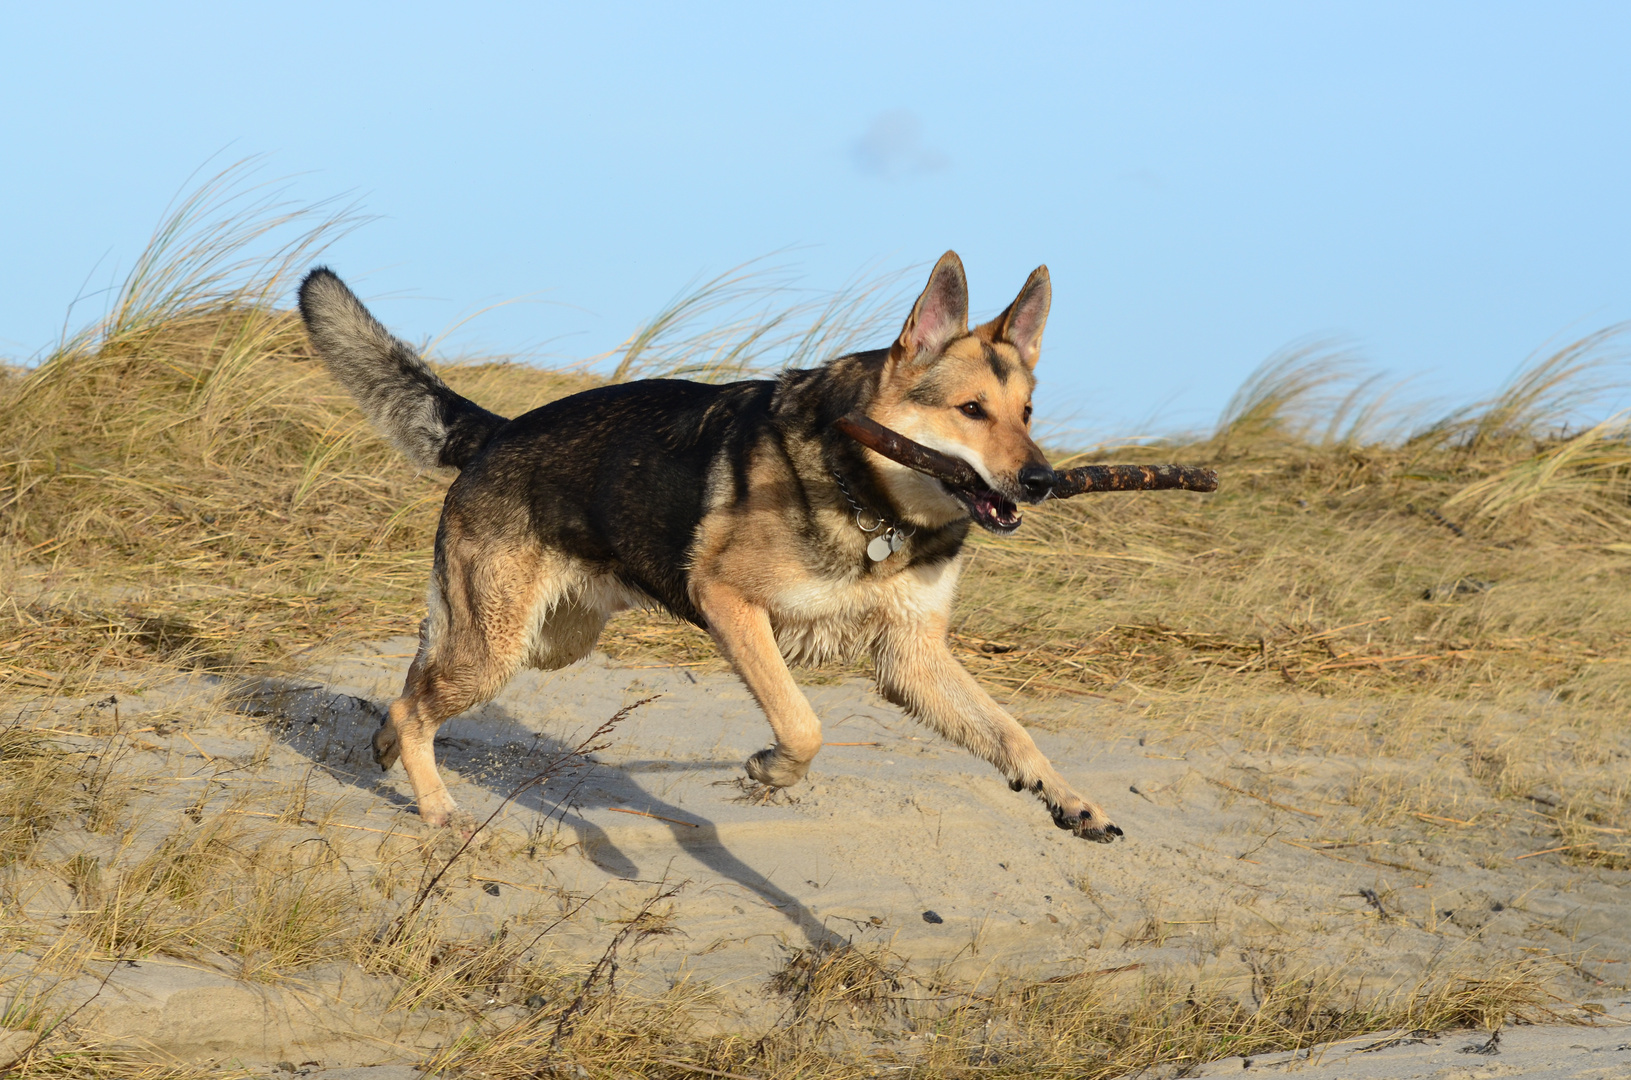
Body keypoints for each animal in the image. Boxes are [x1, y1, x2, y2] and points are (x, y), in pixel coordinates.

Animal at [296, 256, 1122, 848]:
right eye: (970, 411)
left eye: (1027, 413)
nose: (1042, 481)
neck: (873, 504)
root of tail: (497, 429)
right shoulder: (731, 606)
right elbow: (801, 722)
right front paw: (771, 772)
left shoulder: (912, 658)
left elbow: (1011, 732)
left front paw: (1069, 800)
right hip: (498, 649)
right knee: (416, 700)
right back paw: (435, 805)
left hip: (538, 642)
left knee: (414, 679)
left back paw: (387, 747)